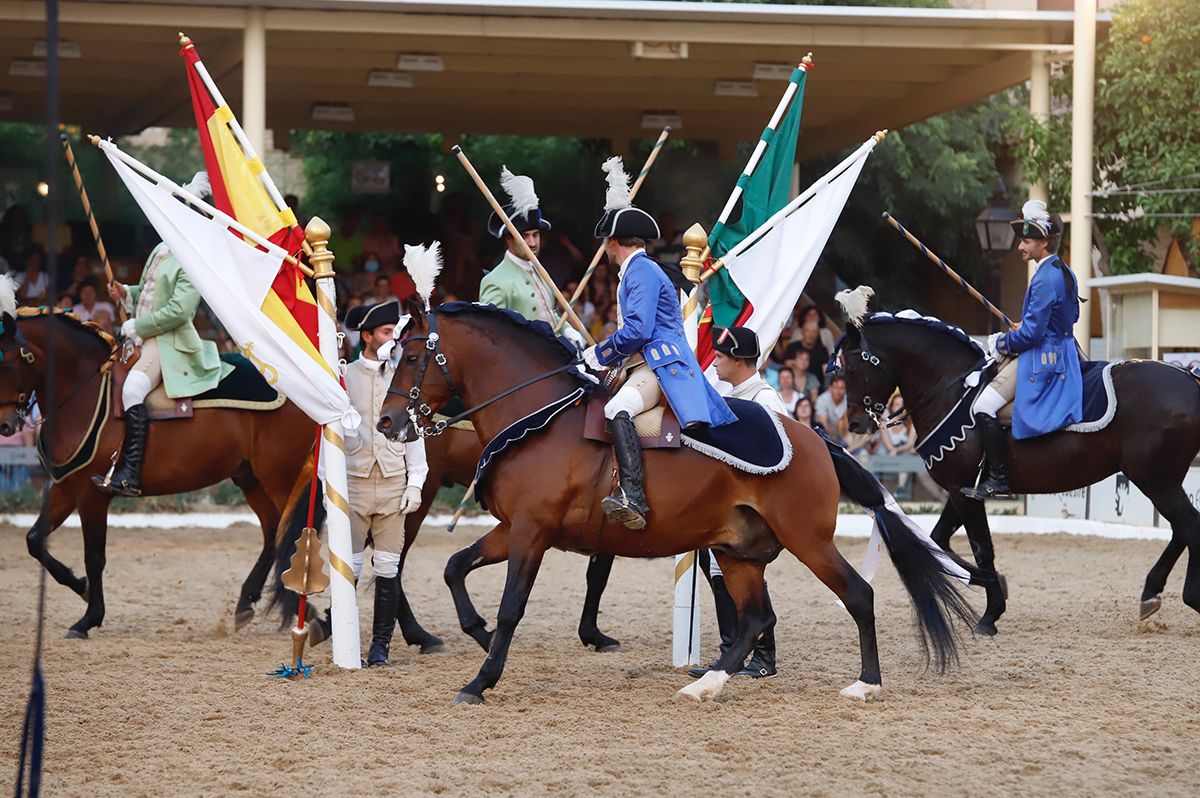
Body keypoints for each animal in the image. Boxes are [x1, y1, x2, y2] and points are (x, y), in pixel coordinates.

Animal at [0, 302, 314, 638]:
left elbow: (94, 557)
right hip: (250, 478)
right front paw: (81, 588)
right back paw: (252, 602)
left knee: (295, 532)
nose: (5, 425)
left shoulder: (91, 494)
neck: (84, 392)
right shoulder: (66, 488)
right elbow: (35, 540)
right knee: (274, 532)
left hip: (280, 477)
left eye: (4, 361)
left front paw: (89, 618)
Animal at [372, 303, 974, 705]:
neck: (539, 416)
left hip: (807, 540)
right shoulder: (515, 528)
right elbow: (455, 567)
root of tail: (816, 438)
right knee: (756, 616)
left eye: (410, 356)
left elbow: (510, 606)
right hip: (738, 551)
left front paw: (481, 678)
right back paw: (707, 682)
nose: (387, 422)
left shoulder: (531, 533)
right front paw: (476, 636)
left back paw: (865, 683)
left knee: (857, 594)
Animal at [830, 289, 1200, 633]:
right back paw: (1151, 593)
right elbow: (940, 541)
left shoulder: (964, 492)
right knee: (1182, 528)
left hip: (1153, 478)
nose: (855, 425)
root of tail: (1189, 379)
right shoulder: (961, 489)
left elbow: (981, 548)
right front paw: (992, 585)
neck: (951, 386)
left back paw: (1186, 596)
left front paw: (991, 612)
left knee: (1188, 526)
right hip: (1163, 478)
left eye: (854, 367)